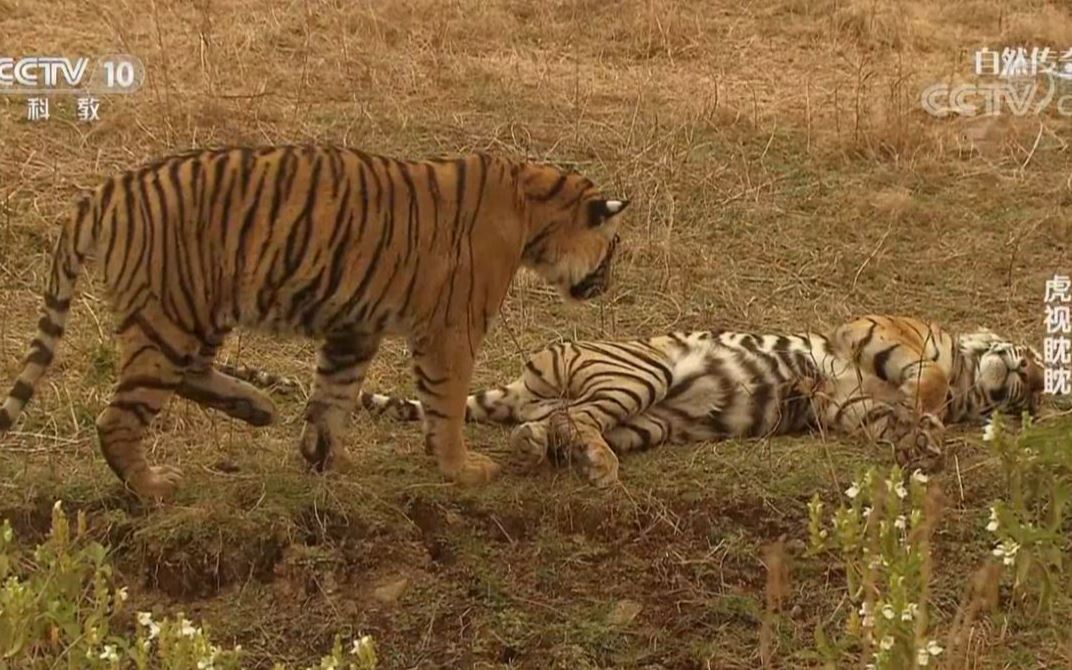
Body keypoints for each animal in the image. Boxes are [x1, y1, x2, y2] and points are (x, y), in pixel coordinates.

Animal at [0, 145, 630, 498]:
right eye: (613, 248)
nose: (606, 283)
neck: (534, 210)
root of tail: (107, 189)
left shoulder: (355, 328)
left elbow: (334, 396)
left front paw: (327, 460)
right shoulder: (452, 328)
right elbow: (446, 404)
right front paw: (461, 469)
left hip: (198, 311)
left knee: (192, 373)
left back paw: (255, 407)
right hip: (171, 315)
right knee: (120, 417)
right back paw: (153, 487)